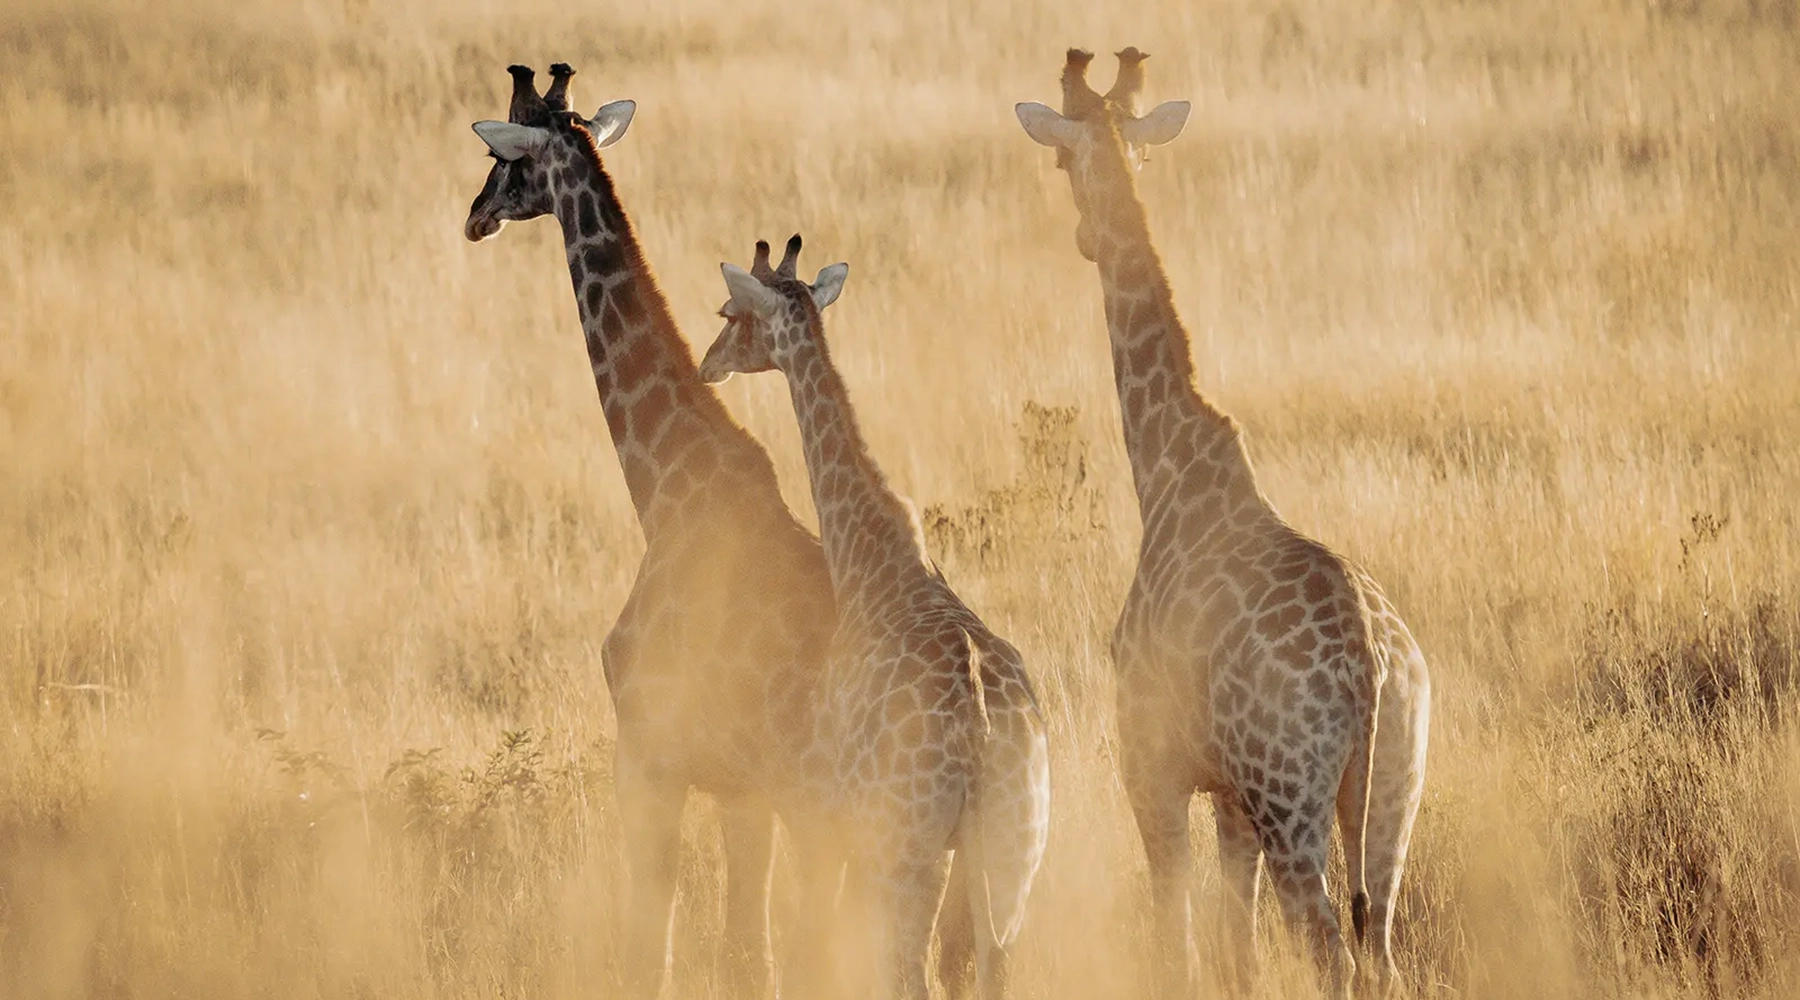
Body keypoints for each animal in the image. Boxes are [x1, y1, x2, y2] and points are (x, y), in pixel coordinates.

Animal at [463, 64, 843, 999]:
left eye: (501, 156)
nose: (473, 216)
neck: (666, 483)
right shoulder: (741, 790)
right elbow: (747, 954)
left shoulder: (648, 753)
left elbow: (653, 945)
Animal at [696, 236, 1052, 1000]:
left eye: (732, 314)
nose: (709, 364)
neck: (873, 558)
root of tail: (981, 728)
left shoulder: (840, 810)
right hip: (1012, 854)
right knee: (993, 968)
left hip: (910, 849)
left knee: (909, 972)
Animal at [1015, 49, 1432, 993]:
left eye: (1058, 160)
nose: (1085, 236)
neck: (1165, 468)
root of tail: (1374, 667)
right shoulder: (1231, 801)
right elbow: (1236, 950)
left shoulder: (1153, 768)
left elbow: (1179, 939)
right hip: (1394, 790)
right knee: (1383, 948)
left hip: (1291, 802)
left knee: (1330, 949)